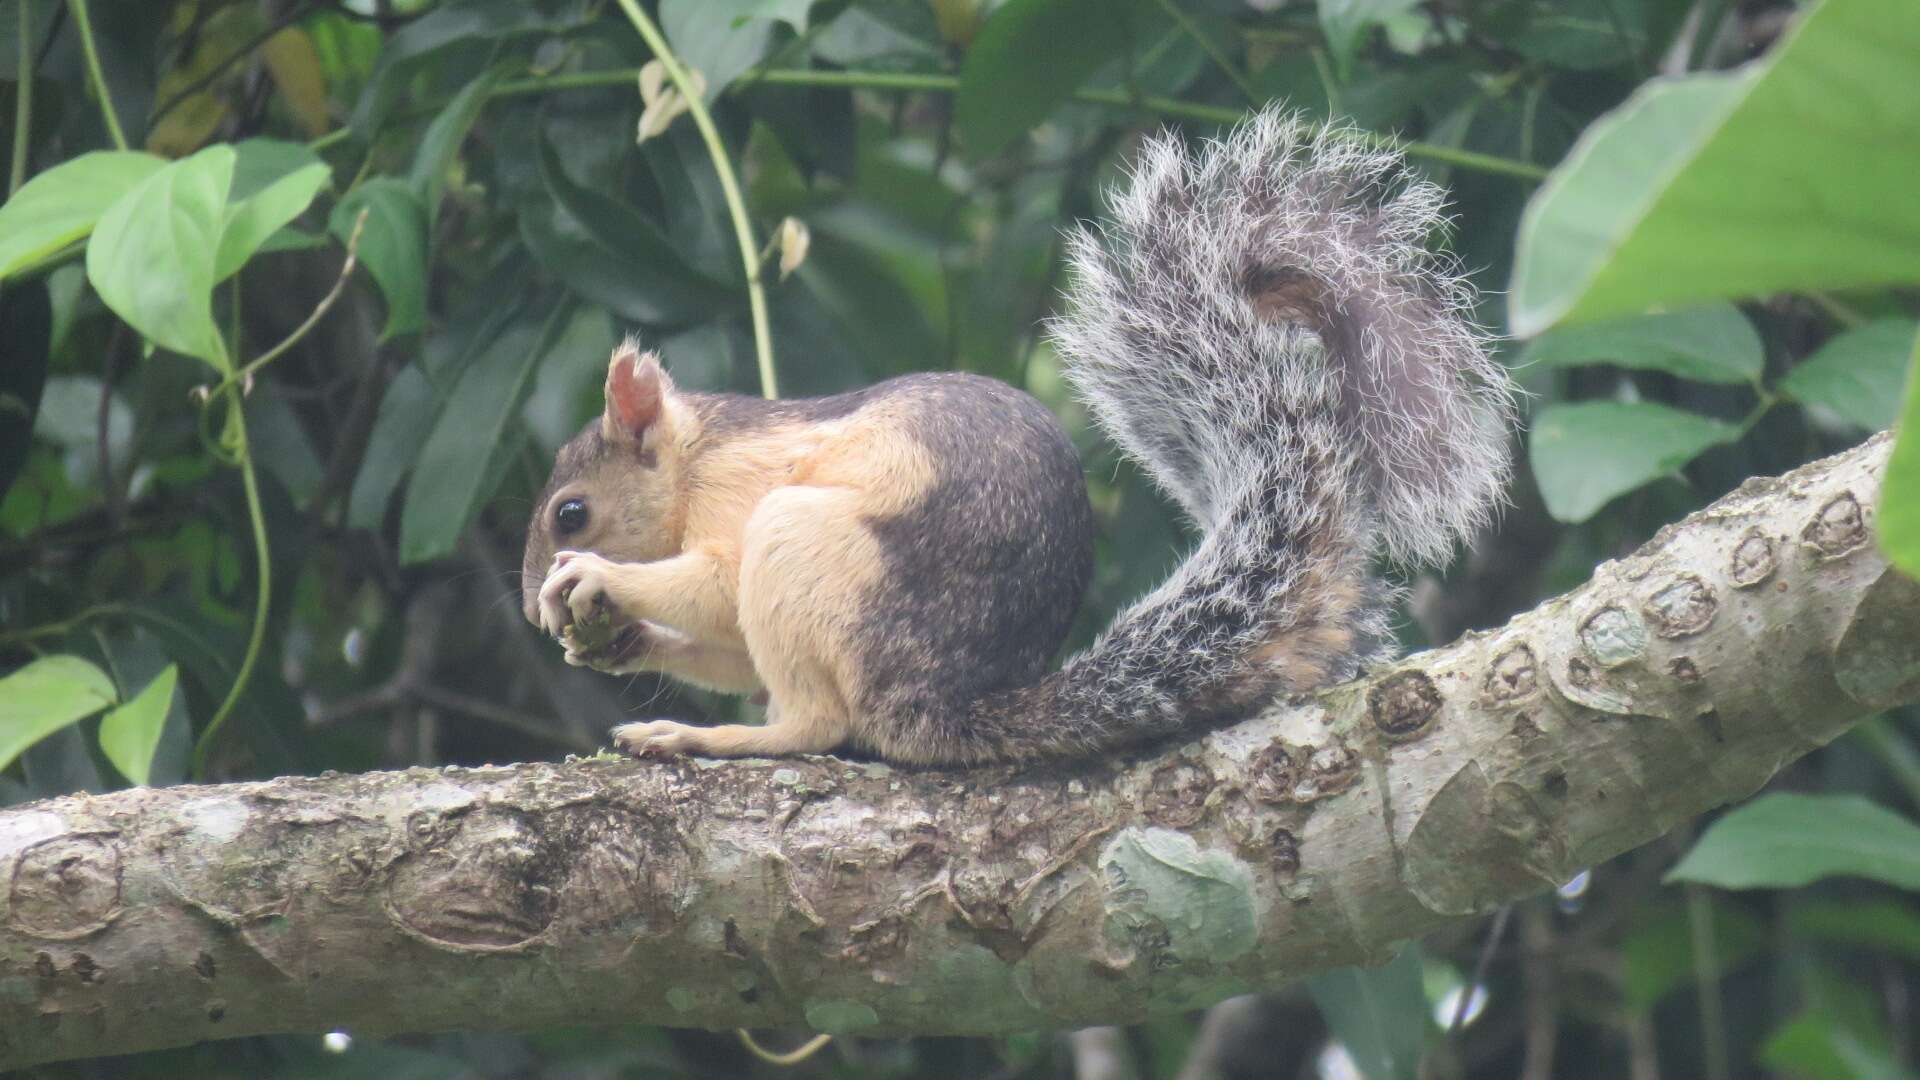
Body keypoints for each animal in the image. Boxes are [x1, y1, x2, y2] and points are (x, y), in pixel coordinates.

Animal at [522, 109, 1512, 760]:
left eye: (571, 512)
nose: (534, 608)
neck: (696, 460)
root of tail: (942, 703)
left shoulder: (741, 491)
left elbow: (719, 585)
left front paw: (599, 580)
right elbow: (724, 638)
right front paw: (617, 640)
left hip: (807, 548)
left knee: (819, 723)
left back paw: (712, 736)